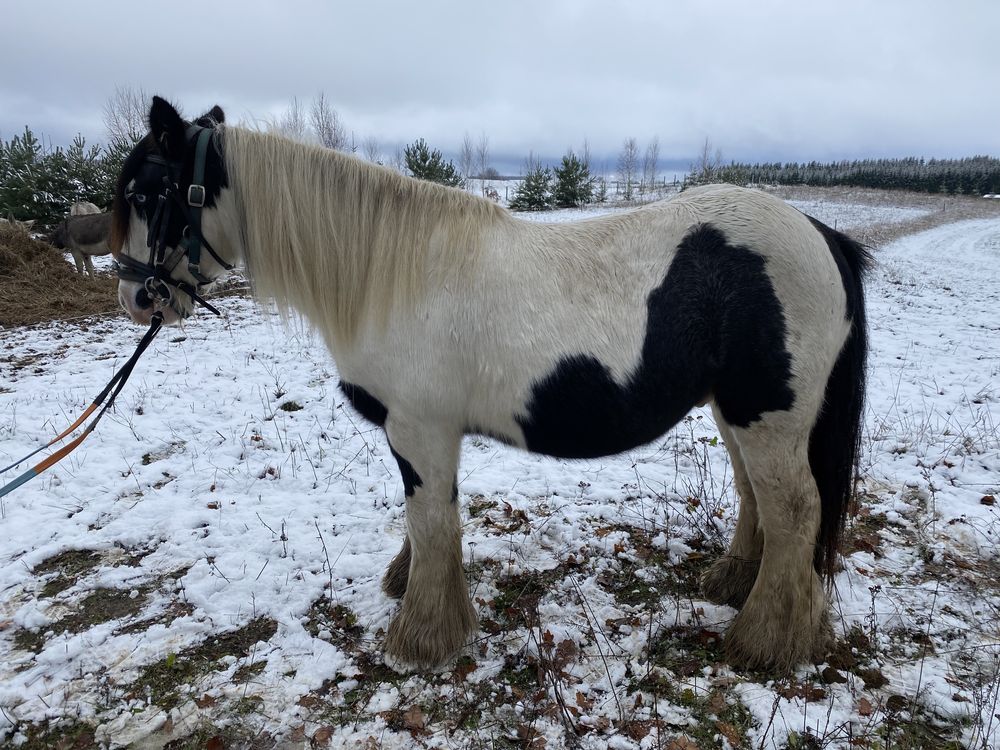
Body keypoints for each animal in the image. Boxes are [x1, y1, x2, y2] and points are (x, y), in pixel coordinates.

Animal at [113, 97, 872, 672]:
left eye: (151, 193)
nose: (138, 297)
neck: (392, 276)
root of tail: (819, 233)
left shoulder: (419, 430)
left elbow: (430, 519)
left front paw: (422, 638)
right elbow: (428, 521)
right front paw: (412, 591)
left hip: (768, 416)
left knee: (795, 509)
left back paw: (764, 641)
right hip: (736, 412)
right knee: (757, 497)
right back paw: (733, 584)